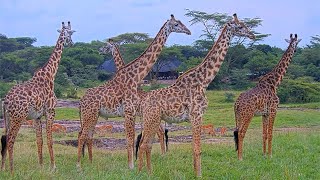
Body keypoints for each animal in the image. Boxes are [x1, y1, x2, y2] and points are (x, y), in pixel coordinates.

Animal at [0, 21, 75, 174]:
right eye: (70, 34)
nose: (72, 43)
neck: (50, 75)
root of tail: (6, 100)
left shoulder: (37, 116)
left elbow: (39, 140)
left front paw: (40, 166)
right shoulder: (51, 111)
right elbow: (49, 139)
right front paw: (53, 166)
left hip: (8, 118)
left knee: (4, 137)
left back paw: (3, 168)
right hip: (18, 117)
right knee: (10, 139)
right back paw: (12, 170)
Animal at [77, 14, 190, 169]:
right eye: (177, 24)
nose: (188, 31)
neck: (135, 76)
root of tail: (81, 101)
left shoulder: (132, 112)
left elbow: (132, 138)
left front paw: (133, 164)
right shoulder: (129, 111)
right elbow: (130, 139)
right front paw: (131, 166)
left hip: (94, 115)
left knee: (87, 135)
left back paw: (89, 162)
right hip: (90, 115)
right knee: (83, 135)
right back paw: (80, 165)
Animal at [137, 13, 255, 176]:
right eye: (240, 26)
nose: (253, 35)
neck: (204, 81)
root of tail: (143, 102)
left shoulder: (196, 117)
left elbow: (195, 148)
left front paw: (195, 172)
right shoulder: (197, 115)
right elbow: (198, 149)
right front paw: (199, 175)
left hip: (153, 120)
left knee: (145, 143)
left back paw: (146, 172)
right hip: (151, 119)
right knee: (144, 144)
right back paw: (143, 173)